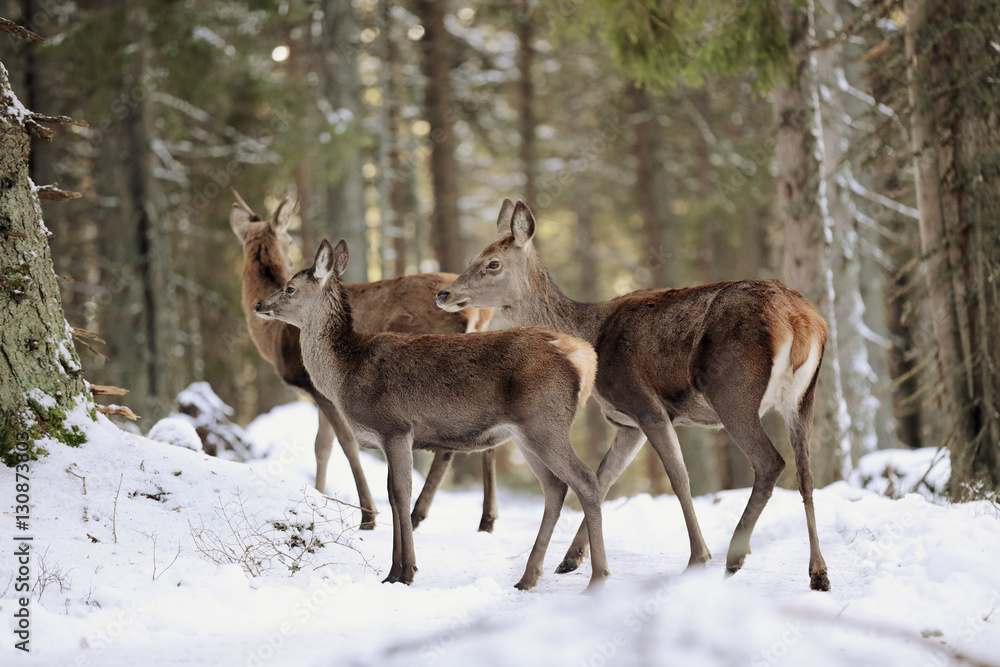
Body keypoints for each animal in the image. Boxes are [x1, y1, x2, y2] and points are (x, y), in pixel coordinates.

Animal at [229, 194, 498, 532]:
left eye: (289, 239)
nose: (260, 304)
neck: (275, 339)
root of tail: (477, 313)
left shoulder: (321, 390)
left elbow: (344, 444)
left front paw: (367, 513)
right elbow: (322, 447)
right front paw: (319, 496)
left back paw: (421, 512)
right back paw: (485, 518)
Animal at [255, 239, 609, 590]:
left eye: (289, 288)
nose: (258, 304)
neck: (346, 373)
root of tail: (583, 357)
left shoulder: (394, 426)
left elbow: (400, 493)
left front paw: (404, 571)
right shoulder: (390, 437)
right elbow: (392, 494)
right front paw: (395, 571)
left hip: (545, 422)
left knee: (585, 480)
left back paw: (597, 575)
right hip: (526, 434)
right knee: (555, 487)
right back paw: (528, 577)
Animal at [436, 199, 831, 591]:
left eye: (492, 263)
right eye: (474, 256)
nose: (444, 293)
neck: (592, 335)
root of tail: (799, 318)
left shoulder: (644, 405)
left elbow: (678, 477)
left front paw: (697, 557)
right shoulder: (628, 423)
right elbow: (604, 478)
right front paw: (571, 558)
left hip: (733, 391)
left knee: (770, 462)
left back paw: (734, 558)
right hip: (803, 396)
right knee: (807, 472)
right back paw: (818, 572)